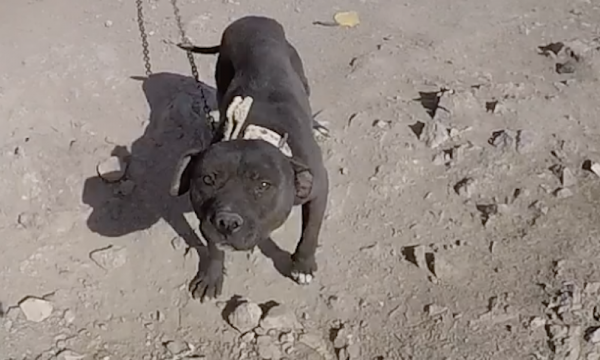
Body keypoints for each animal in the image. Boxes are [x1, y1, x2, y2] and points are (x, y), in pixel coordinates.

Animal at [170, 16, 328, 300]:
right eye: (207, 180)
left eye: (263, 185)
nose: (227, 222)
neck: (256, 129)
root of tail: (253, 19)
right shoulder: (207, 220)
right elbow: (213, 246)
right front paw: (211, 276)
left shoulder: (319, 189)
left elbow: (310, 231)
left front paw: (303, 266)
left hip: (300, 74)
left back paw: (317, 125)